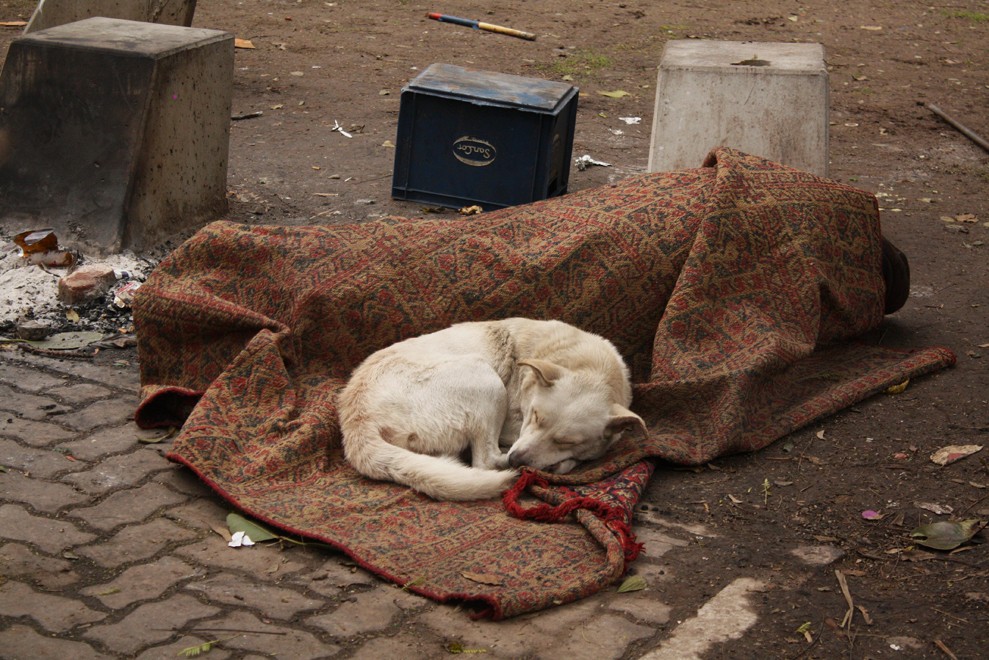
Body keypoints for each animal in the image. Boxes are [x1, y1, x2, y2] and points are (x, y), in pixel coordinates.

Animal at [338, 320, 648, 500]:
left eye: (566, 441)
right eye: (535, 416)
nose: (517, 459)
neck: (588, 365)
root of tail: (356, 420)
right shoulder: (515, 426)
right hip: (485, 377)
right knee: (485, 461)